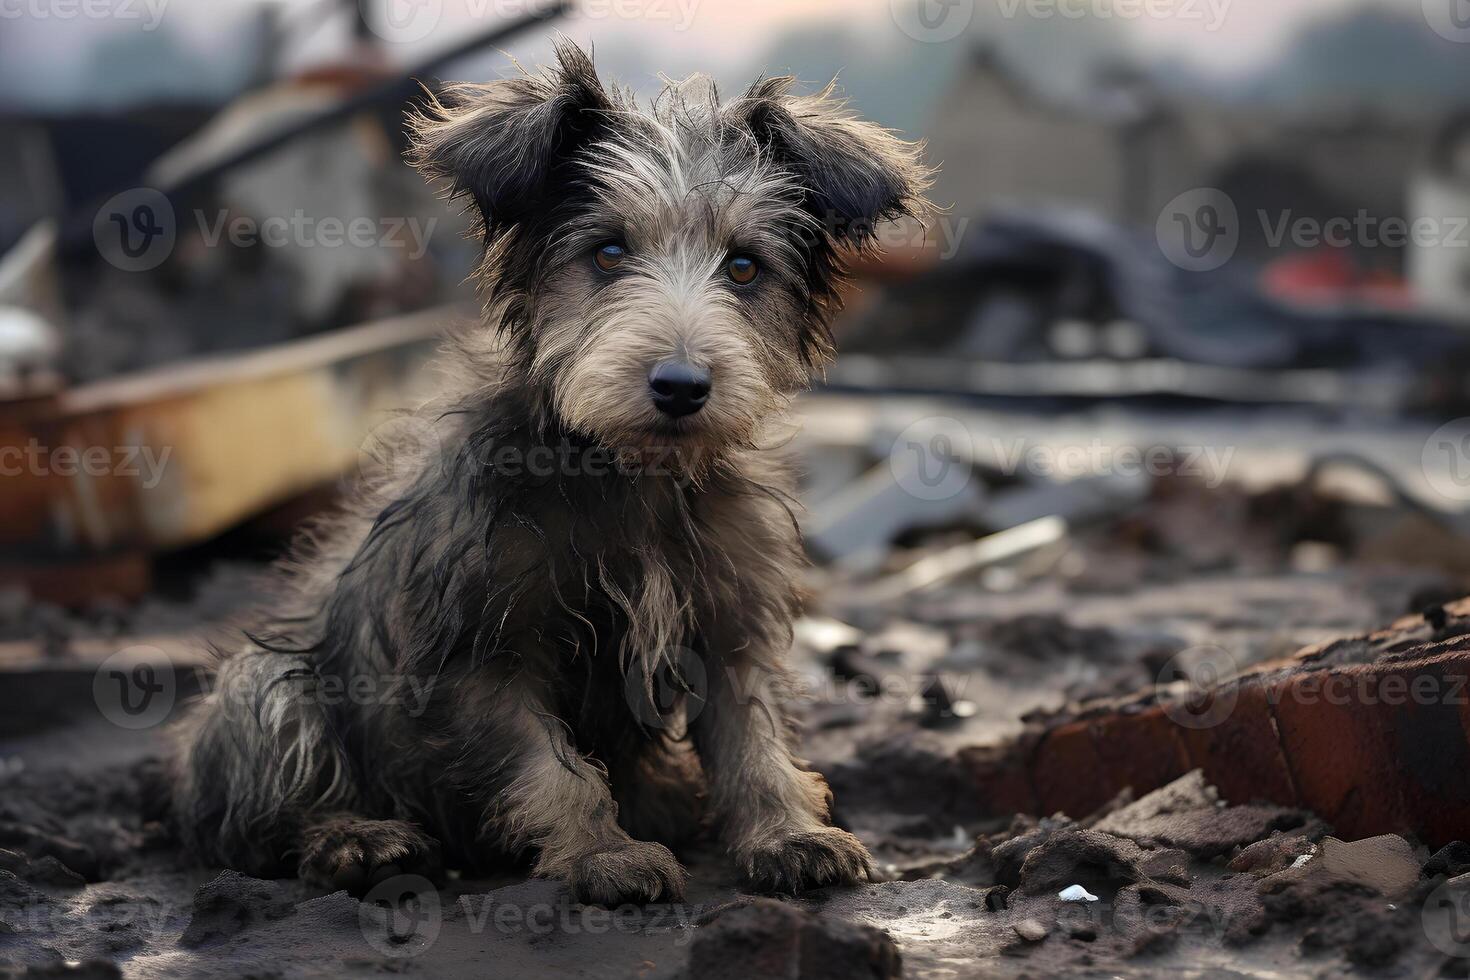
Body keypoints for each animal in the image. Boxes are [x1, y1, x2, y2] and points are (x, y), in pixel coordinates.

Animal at [169, 44, 929, 905]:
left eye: (743, 267)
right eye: (608, 252)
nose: (680, 386)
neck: (624, 472)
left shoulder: (730, 620)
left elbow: (753, 741)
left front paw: (787, 834)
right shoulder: (474, 650)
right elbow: (552, 769)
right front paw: (603, 854)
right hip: (267, 685)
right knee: (261, 816)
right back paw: (357, 840)